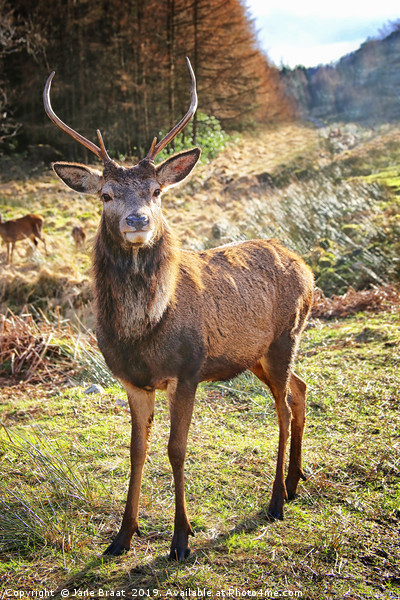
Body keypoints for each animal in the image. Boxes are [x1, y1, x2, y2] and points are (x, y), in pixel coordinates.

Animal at [43, 58, 312, 560]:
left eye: (156, 191)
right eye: (106, 194)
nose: (138, 221)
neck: (143, 332)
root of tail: (305, 266)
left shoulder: (187, 369)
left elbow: (176, 448)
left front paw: (181, 539)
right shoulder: (133, 381)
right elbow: (136, 449)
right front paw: (121, 537)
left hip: (287, 336)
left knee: (283, 408)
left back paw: (275, 501)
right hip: (256, 354)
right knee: (301, 390)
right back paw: (294, 481)